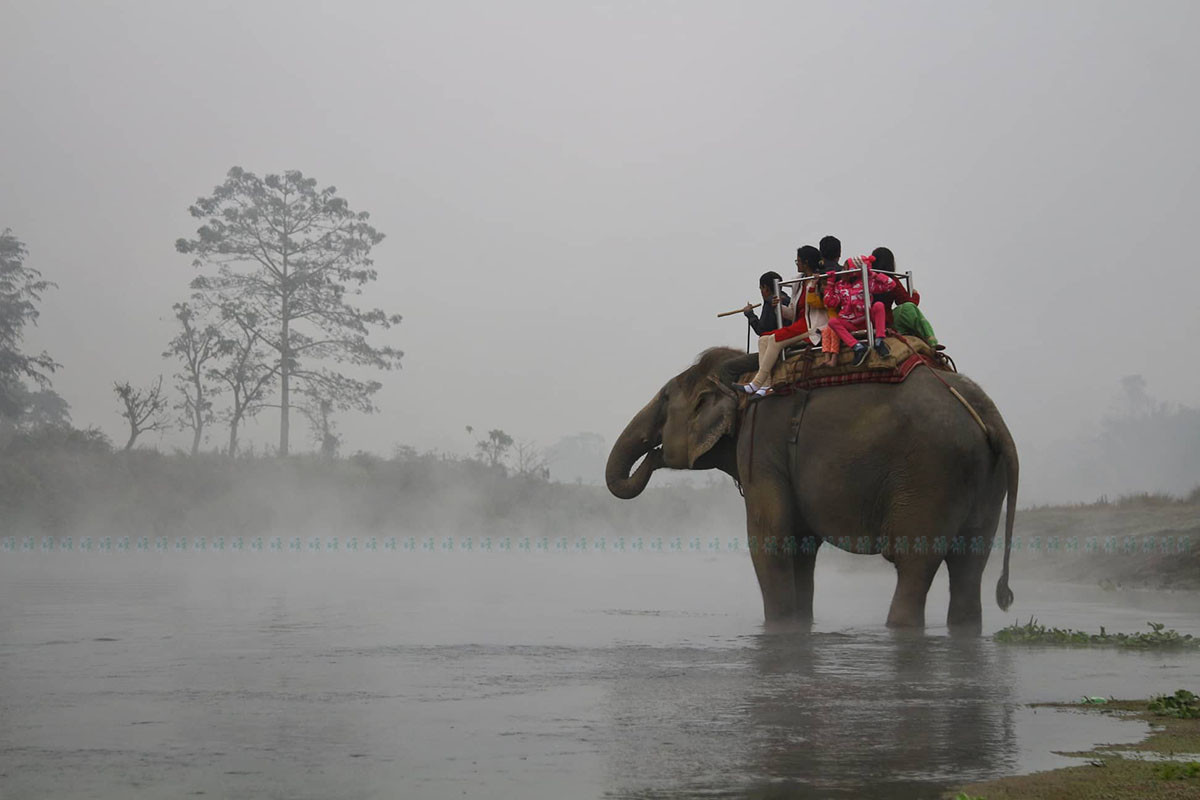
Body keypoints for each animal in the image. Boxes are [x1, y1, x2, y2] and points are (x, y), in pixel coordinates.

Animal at [604, 347, 1017, 633]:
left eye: (663, 401)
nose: (654, 455)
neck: (745, 377)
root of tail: (989, 415)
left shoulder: (761, 443)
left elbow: (769, 541)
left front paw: (779, 629)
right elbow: (801, 546)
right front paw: (800, 628)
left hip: (930, 475)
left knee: (914, 565)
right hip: (983, 480)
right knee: (969, 567)